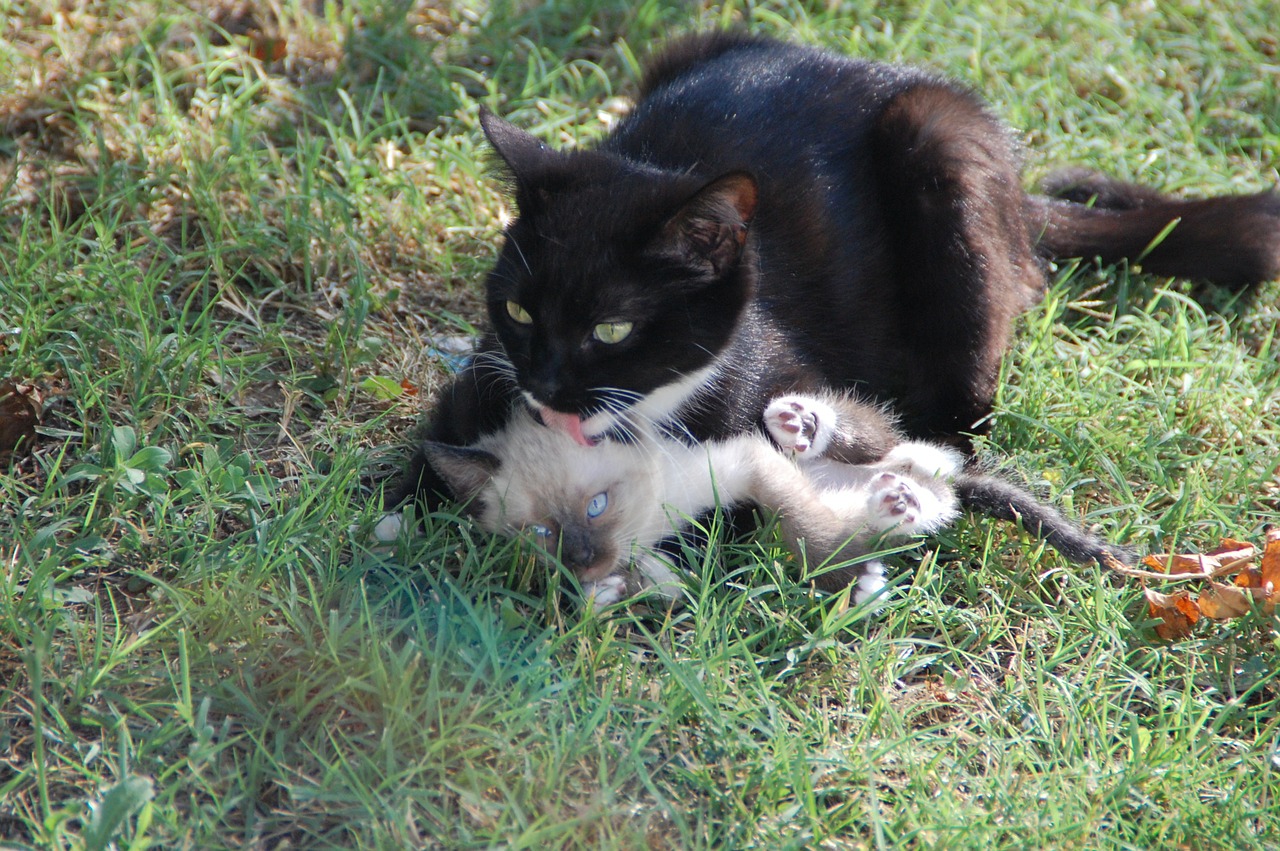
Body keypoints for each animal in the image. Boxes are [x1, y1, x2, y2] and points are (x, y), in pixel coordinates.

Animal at [389, 31, 1280, 511]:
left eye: (612, 328)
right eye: (520, 313)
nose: (542, 385)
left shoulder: (780, 384)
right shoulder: (481, 377)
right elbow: (422, 460)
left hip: (944, 148)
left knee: (973, 391)